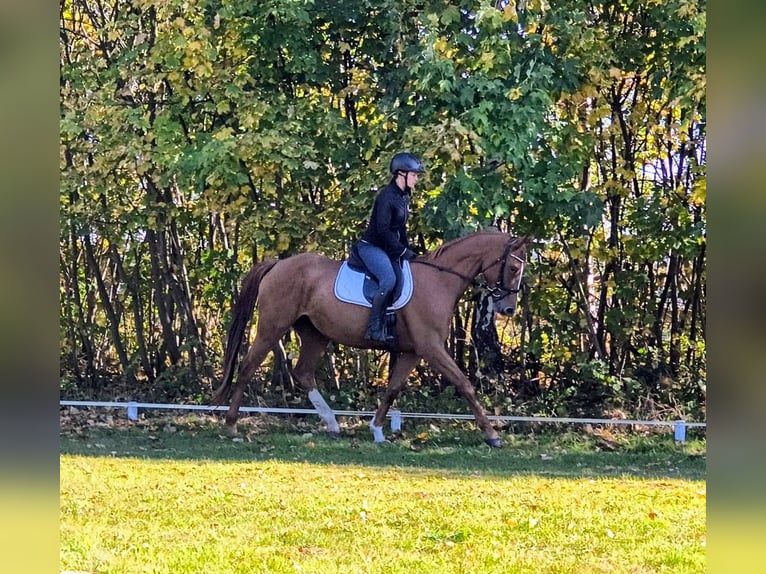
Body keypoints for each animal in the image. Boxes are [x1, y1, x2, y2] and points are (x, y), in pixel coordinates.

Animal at [212, 230, 528, 447]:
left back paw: (332, 424)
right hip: (272, 327)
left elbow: (393, 388)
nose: (508, 309)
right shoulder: (431, 347)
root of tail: (278, 264)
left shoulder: (413, 351)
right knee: (248, 367)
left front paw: (377, 430)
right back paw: (231, 425)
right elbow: (464, 385)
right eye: (513, 268)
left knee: (303, 372)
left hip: (315, 334)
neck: (439, 280)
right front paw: (492, 435)